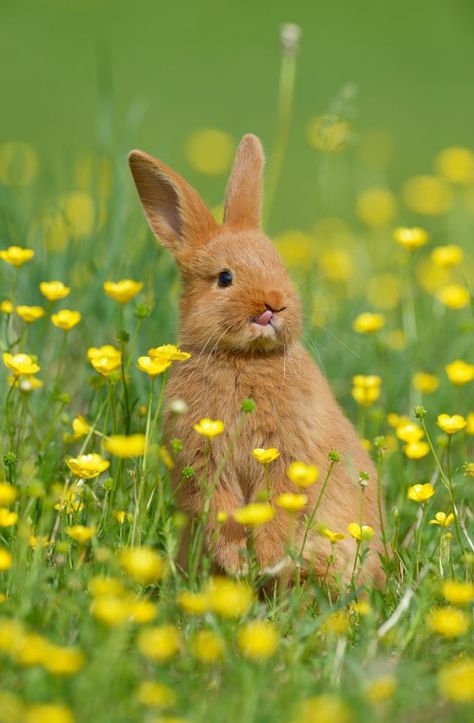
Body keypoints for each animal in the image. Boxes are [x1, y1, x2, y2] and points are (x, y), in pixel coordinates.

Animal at [129, 136, 386, 588]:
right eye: (225, 278)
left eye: (279, 265)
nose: (273, 304)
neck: (243, 358)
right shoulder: (205, 462)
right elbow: (221, 507)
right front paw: (238, 562)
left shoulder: (288, 454)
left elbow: (277, 505)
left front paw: (264, 560)